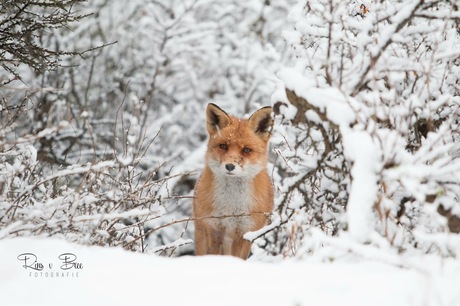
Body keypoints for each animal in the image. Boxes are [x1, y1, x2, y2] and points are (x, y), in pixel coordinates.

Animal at [193, 104, 274, 260]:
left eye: (246, 150)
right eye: (223, 146)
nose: (230, 166)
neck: (231, 205)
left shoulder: (244, 232)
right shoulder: (213, 227)